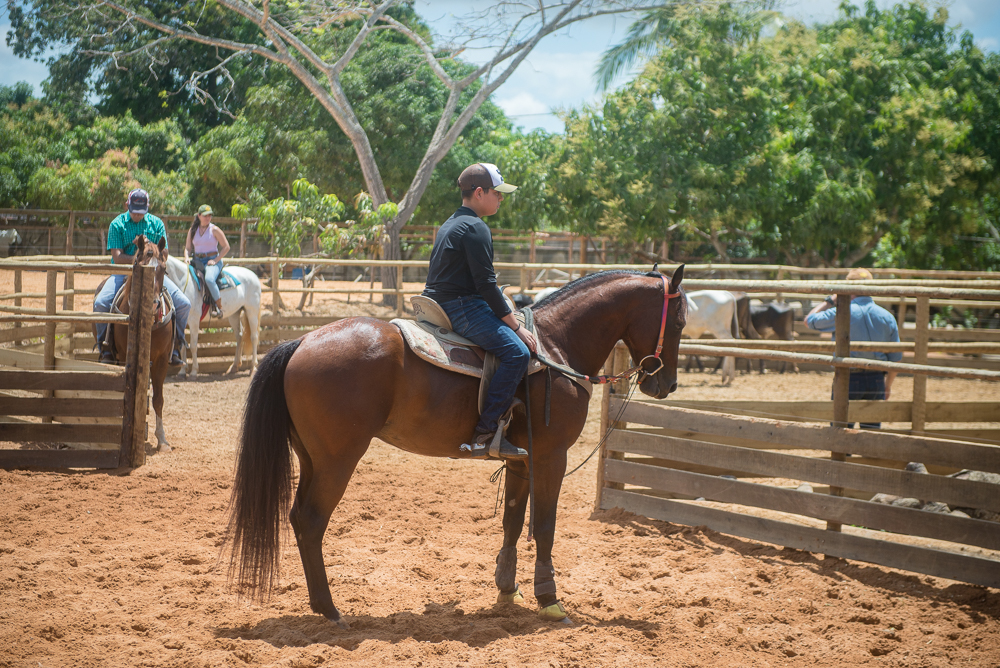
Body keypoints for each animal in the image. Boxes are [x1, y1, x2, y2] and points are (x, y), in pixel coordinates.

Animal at [228, 264, 688, 628]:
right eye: (681, 321)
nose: (665, 384)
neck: (555, 347)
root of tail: (301, 343)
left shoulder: (521, 460)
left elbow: (513, 520)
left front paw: (507, 590)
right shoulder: (551, 456)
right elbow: (544, 526)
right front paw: (549, 599)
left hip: (311, 458)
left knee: (297, 518)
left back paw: (321, 606)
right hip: (337, 461)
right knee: (310, 521)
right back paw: (331, 610)